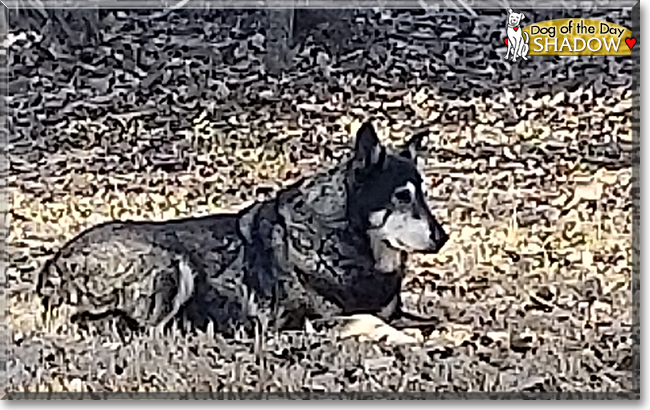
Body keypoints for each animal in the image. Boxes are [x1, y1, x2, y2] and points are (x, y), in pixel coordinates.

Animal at [38, 121, 448, 340]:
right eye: (401, 197)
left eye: (423, 193)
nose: (442, 237)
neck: (343, 237)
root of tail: (53, 268)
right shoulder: (298, 323)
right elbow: (370, 320)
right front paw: (406, 339)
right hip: (171, 265)